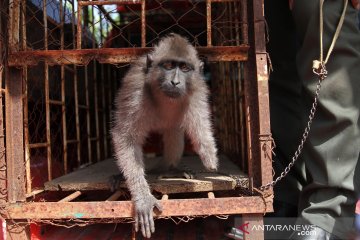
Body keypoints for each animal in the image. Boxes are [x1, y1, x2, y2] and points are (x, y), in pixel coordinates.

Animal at [109, 33, 218, 238]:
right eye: (168, 66)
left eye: (184, 68)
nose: (175, 82)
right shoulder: (135, 88)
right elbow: (126, 138)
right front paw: (143, 198)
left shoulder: (197, 87)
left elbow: (199, 122)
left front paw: (208, 154)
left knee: (173, 131)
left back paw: (170, 169)